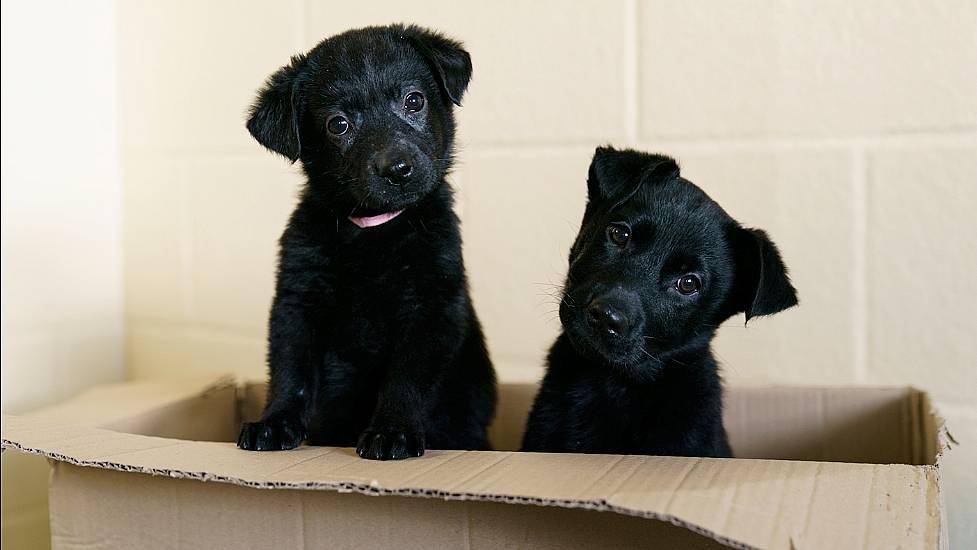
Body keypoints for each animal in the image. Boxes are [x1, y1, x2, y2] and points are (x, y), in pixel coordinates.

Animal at [236, 24, 496, 462]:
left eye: (414, 101)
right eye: (338, 125)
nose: (397, 169)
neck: (372, 231)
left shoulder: (431, 305)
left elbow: (406, 377)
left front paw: (393, 431)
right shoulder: (296, 301)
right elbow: (290, 370)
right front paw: (276, 422)